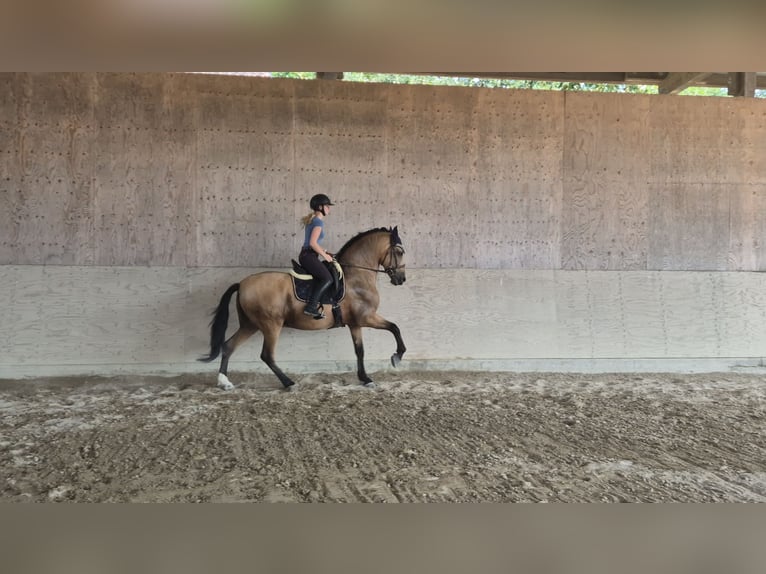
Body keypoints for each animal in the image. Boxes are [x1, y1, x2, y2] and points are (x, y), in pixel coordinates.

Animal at [199, 226, 407, 390]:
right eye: (399, 252)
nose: (401, 279)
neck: (356, 277)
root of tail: (242, 284)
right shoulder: (367, 317)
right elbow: (395, 327)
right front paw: (397, 356)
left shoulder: (355, 323)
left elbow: (360, 351)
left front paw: (365, 379)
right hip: (271, 325)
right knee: (267, 355)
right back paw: (289, 383)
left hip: (250, 324)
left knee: (228, 346)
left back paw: (224, 382)